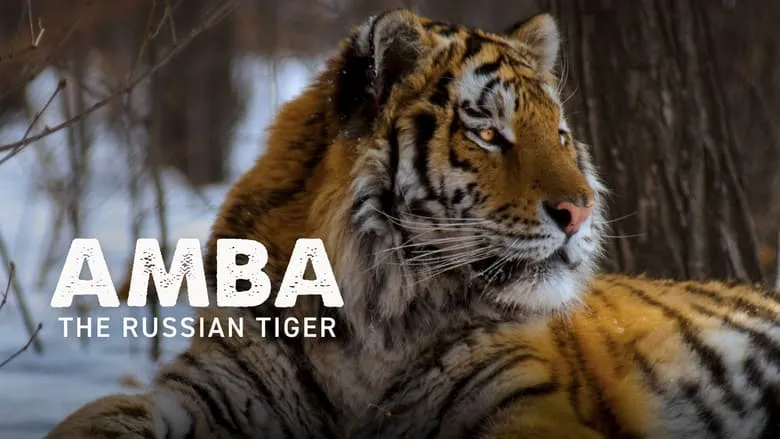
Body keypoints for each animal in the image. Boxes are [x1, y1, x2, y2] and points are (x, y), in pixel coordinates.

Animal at [45, 8, 780, 439]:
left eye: (562, 134)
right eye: (489, 133)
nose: (582, 212)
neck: (372, 325)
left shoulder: (526, 404)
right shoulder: (214, 388)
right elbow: (103, 414)